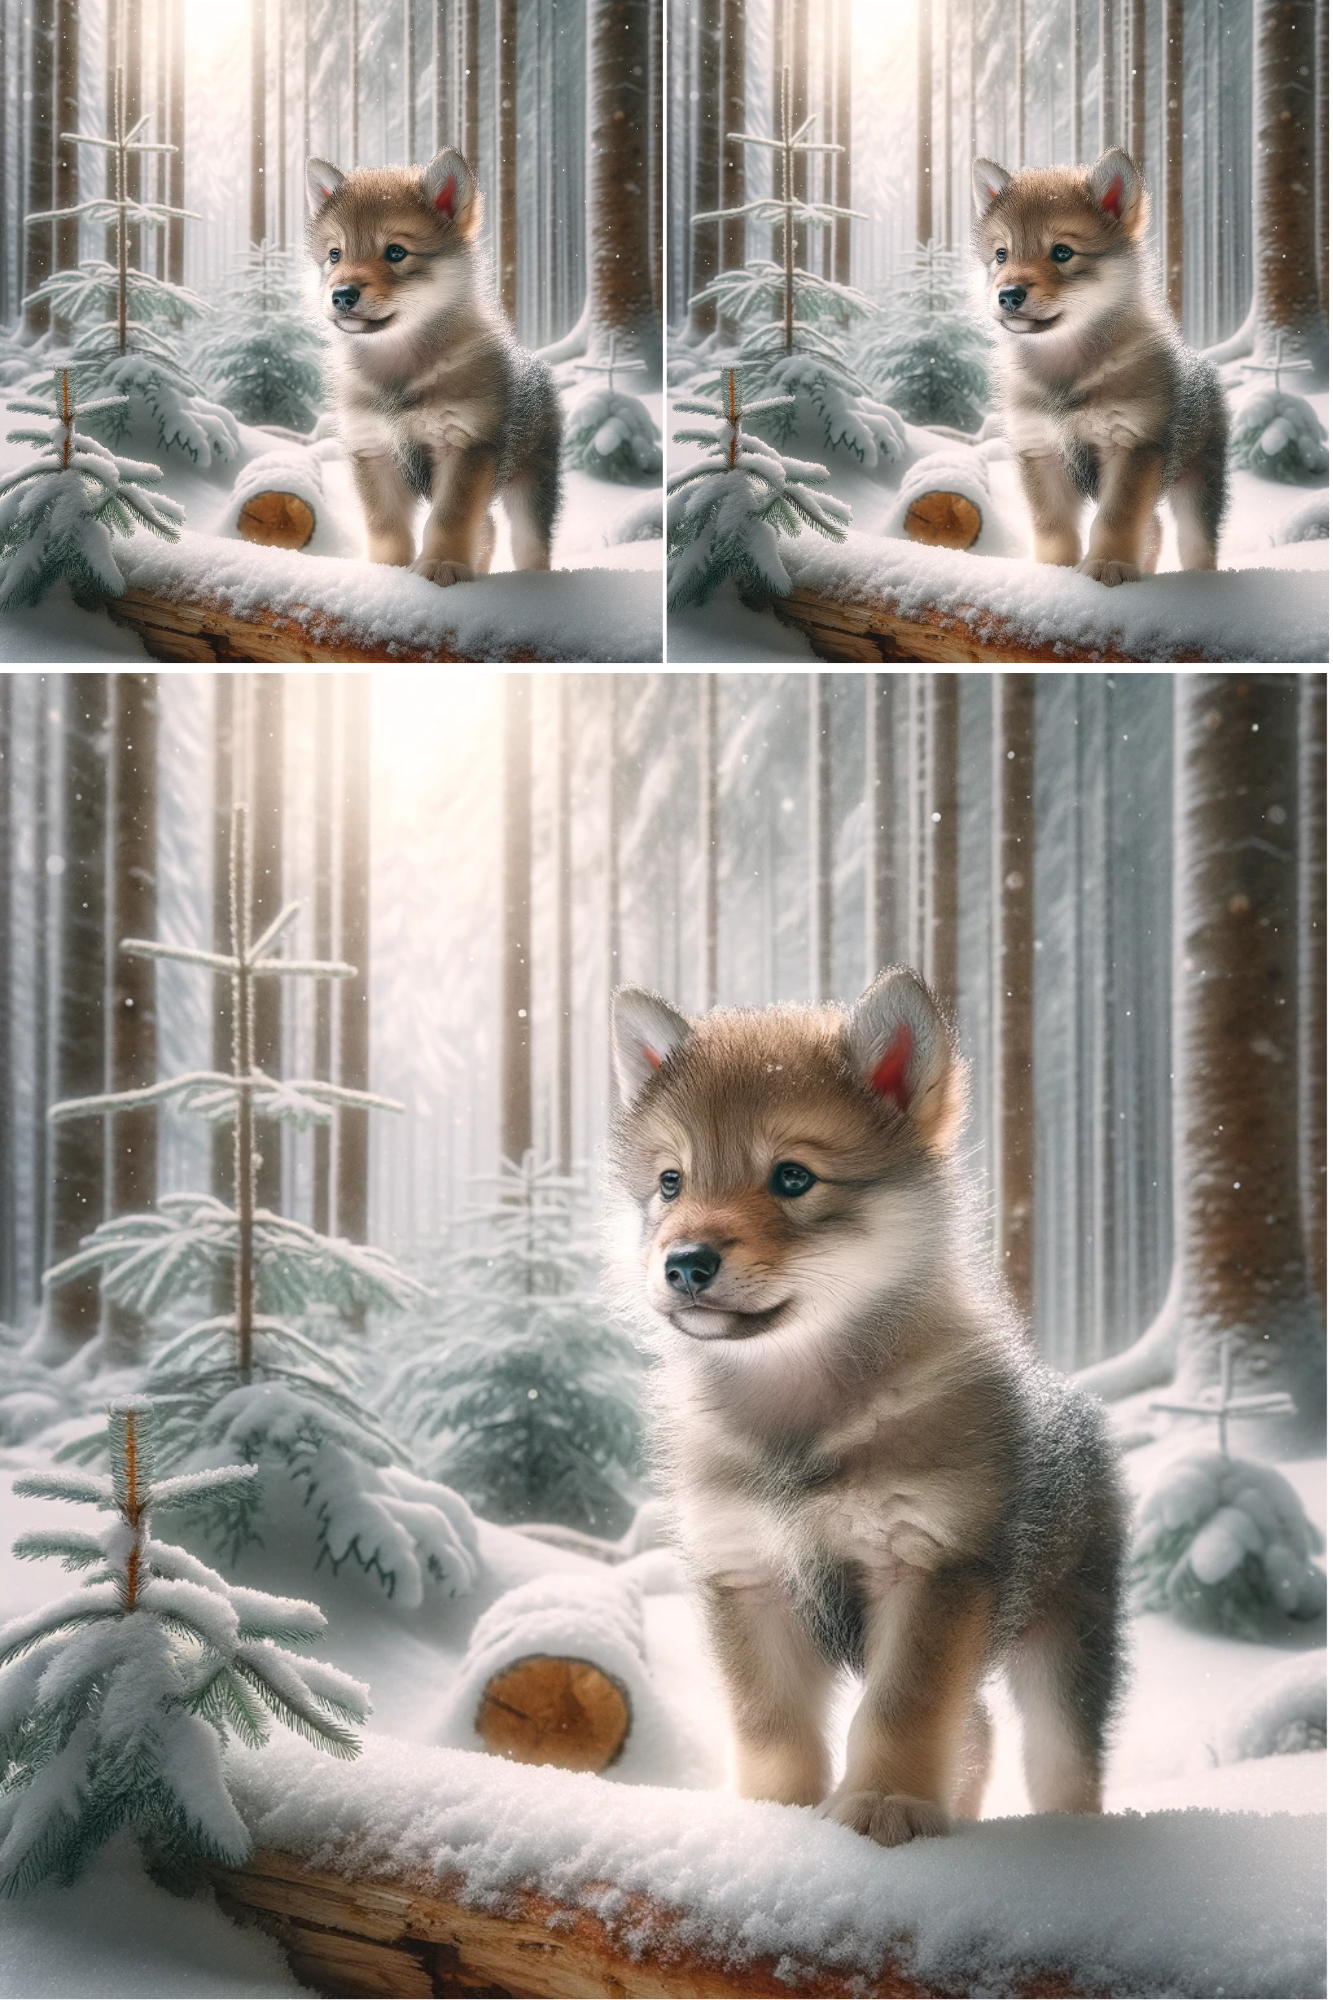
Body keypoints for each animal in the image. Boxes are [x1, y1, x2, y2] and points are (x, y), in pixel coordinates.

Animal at [305, 148, 562, 585]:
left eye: (395, 252)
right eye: (335, 254)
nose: (341, 294)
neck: (399, 375)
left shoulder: (463, 445)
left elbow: (449, 518)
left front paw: (442, 564)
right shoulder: (374, 450)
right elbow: (386, 527)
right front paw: (387, 570)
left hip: (533, 479)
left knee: (530, 540)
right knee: (488, 529)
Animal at [606, 968, 1127, 1849]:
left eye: (791, 1177)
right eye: (672, 1182)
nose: (684, 1263)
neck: (799, 1424)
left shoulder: (927, 1564)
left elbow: (899, 1709)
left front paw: (884, 1800)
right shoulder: (748, 1575)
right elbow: (772, 1725)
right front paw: (775, 1812)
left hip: (1068, 1630)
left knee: (1062, 1754)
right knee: (977, 1729)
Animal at [972, 147, 1228, 585]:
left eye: (1062, 252)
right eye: (1001, 254)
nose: (1008, 294)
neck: (1065, 375)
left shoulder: (1130, 445)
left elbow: (1115, 518)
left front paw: (1108, 563)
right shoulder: (1040, 450)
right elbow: (1052, 527)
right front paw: (1053, 570)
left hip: (1200, 478)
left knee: (1197, 540)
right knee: (1154, 528)